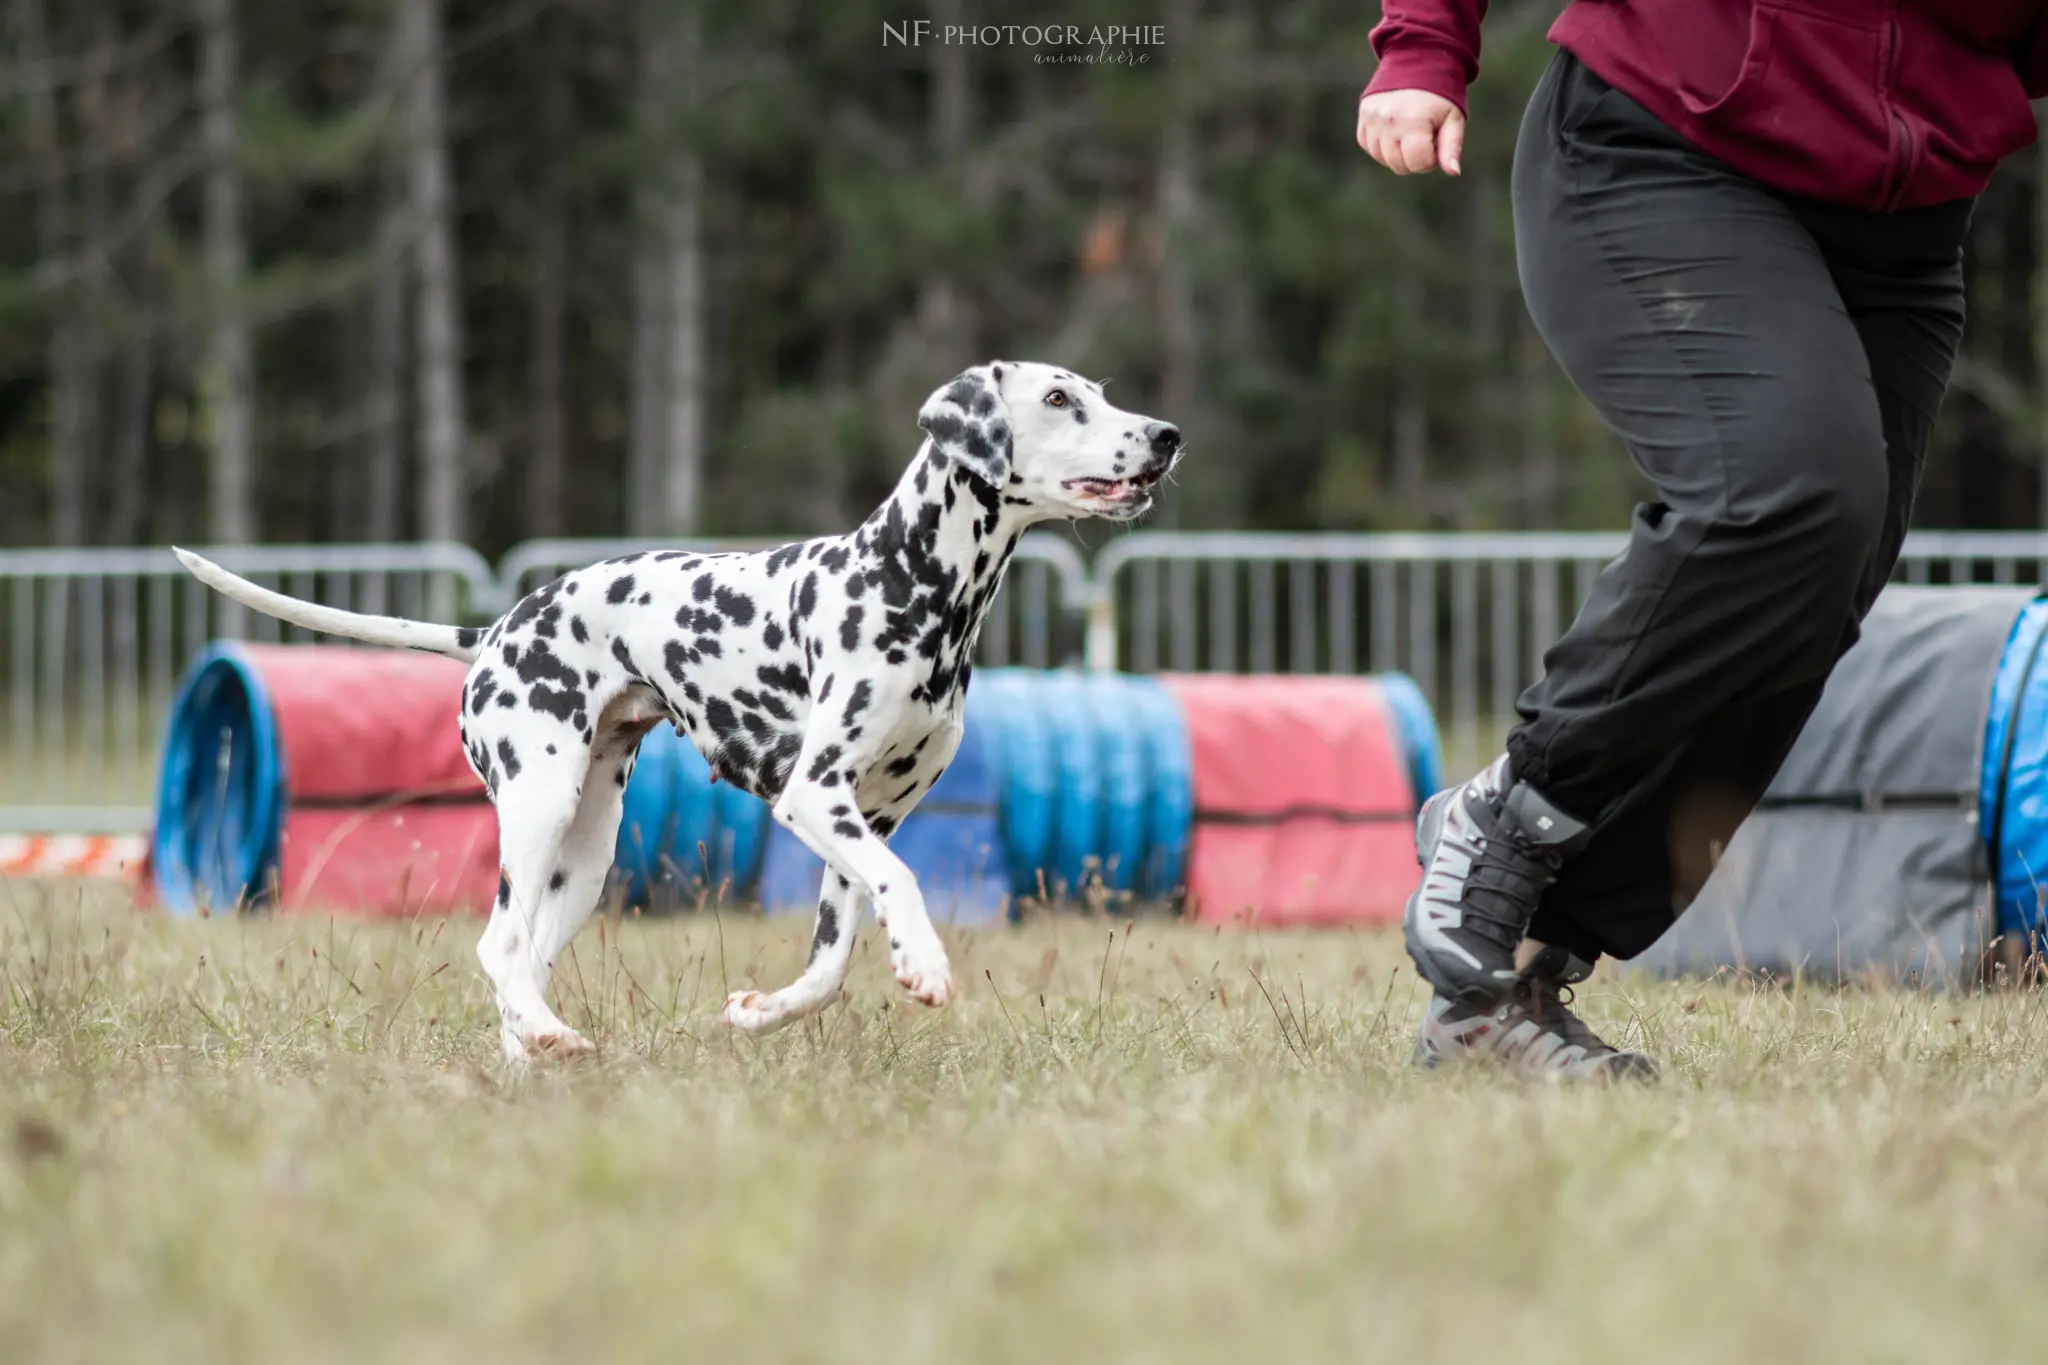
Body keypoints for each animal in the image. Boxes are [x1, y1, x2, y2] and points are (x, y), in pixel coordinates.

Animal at [176, 366, 1187, 1064]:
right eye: (1059, 397)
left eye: (1099, 393)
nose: (1167, 434)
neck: (914, 583)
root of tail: (494, 629)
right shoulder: (818, 799)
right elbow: (902, 885)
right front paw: (926, 963)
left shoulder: (869, 817)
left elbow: (827, 970)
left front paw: (761, 1010)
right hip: (538, 805)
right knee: (497, 943)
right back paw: (547, 1038)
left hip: (586, 857)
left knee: (522, 962)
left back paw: (532, 1048)